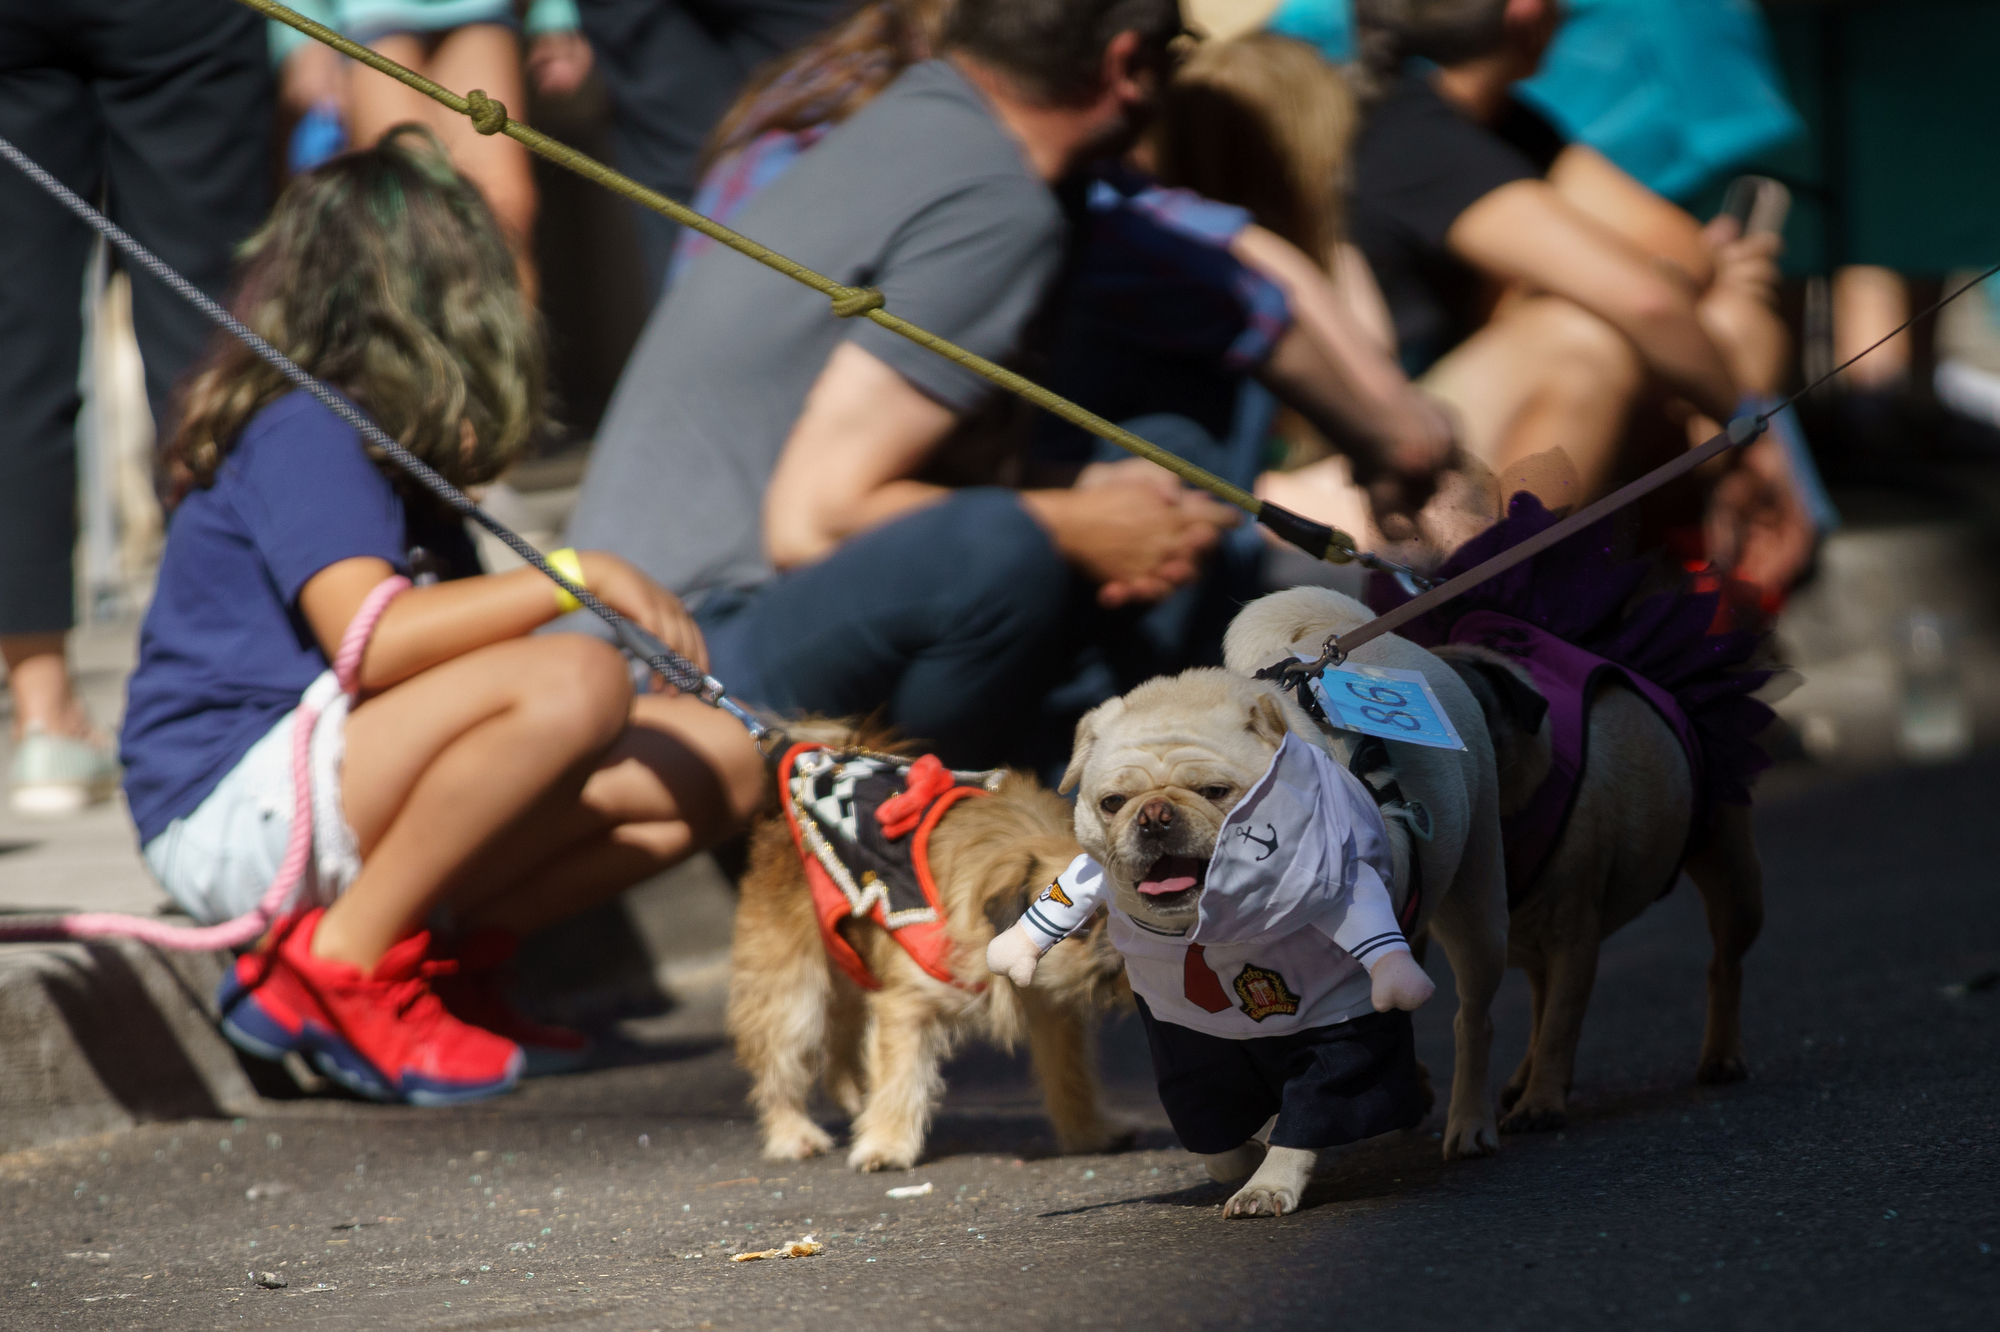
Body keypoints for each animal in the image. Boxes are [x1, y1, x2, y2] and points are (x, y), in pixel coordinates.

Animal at [728, 720, 1136, 1168]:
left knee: (840, 1047)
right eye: (1082, 922)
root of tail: (808, 757)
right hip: (792, 994)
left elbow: (1070, 1075)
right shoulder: (906, 1004)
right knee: (781, 1062)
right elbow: (900, 1076)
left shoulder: (1053, 1010)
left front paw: (1087, 1131)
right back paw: (792, 1133)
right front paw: (886, 1144)